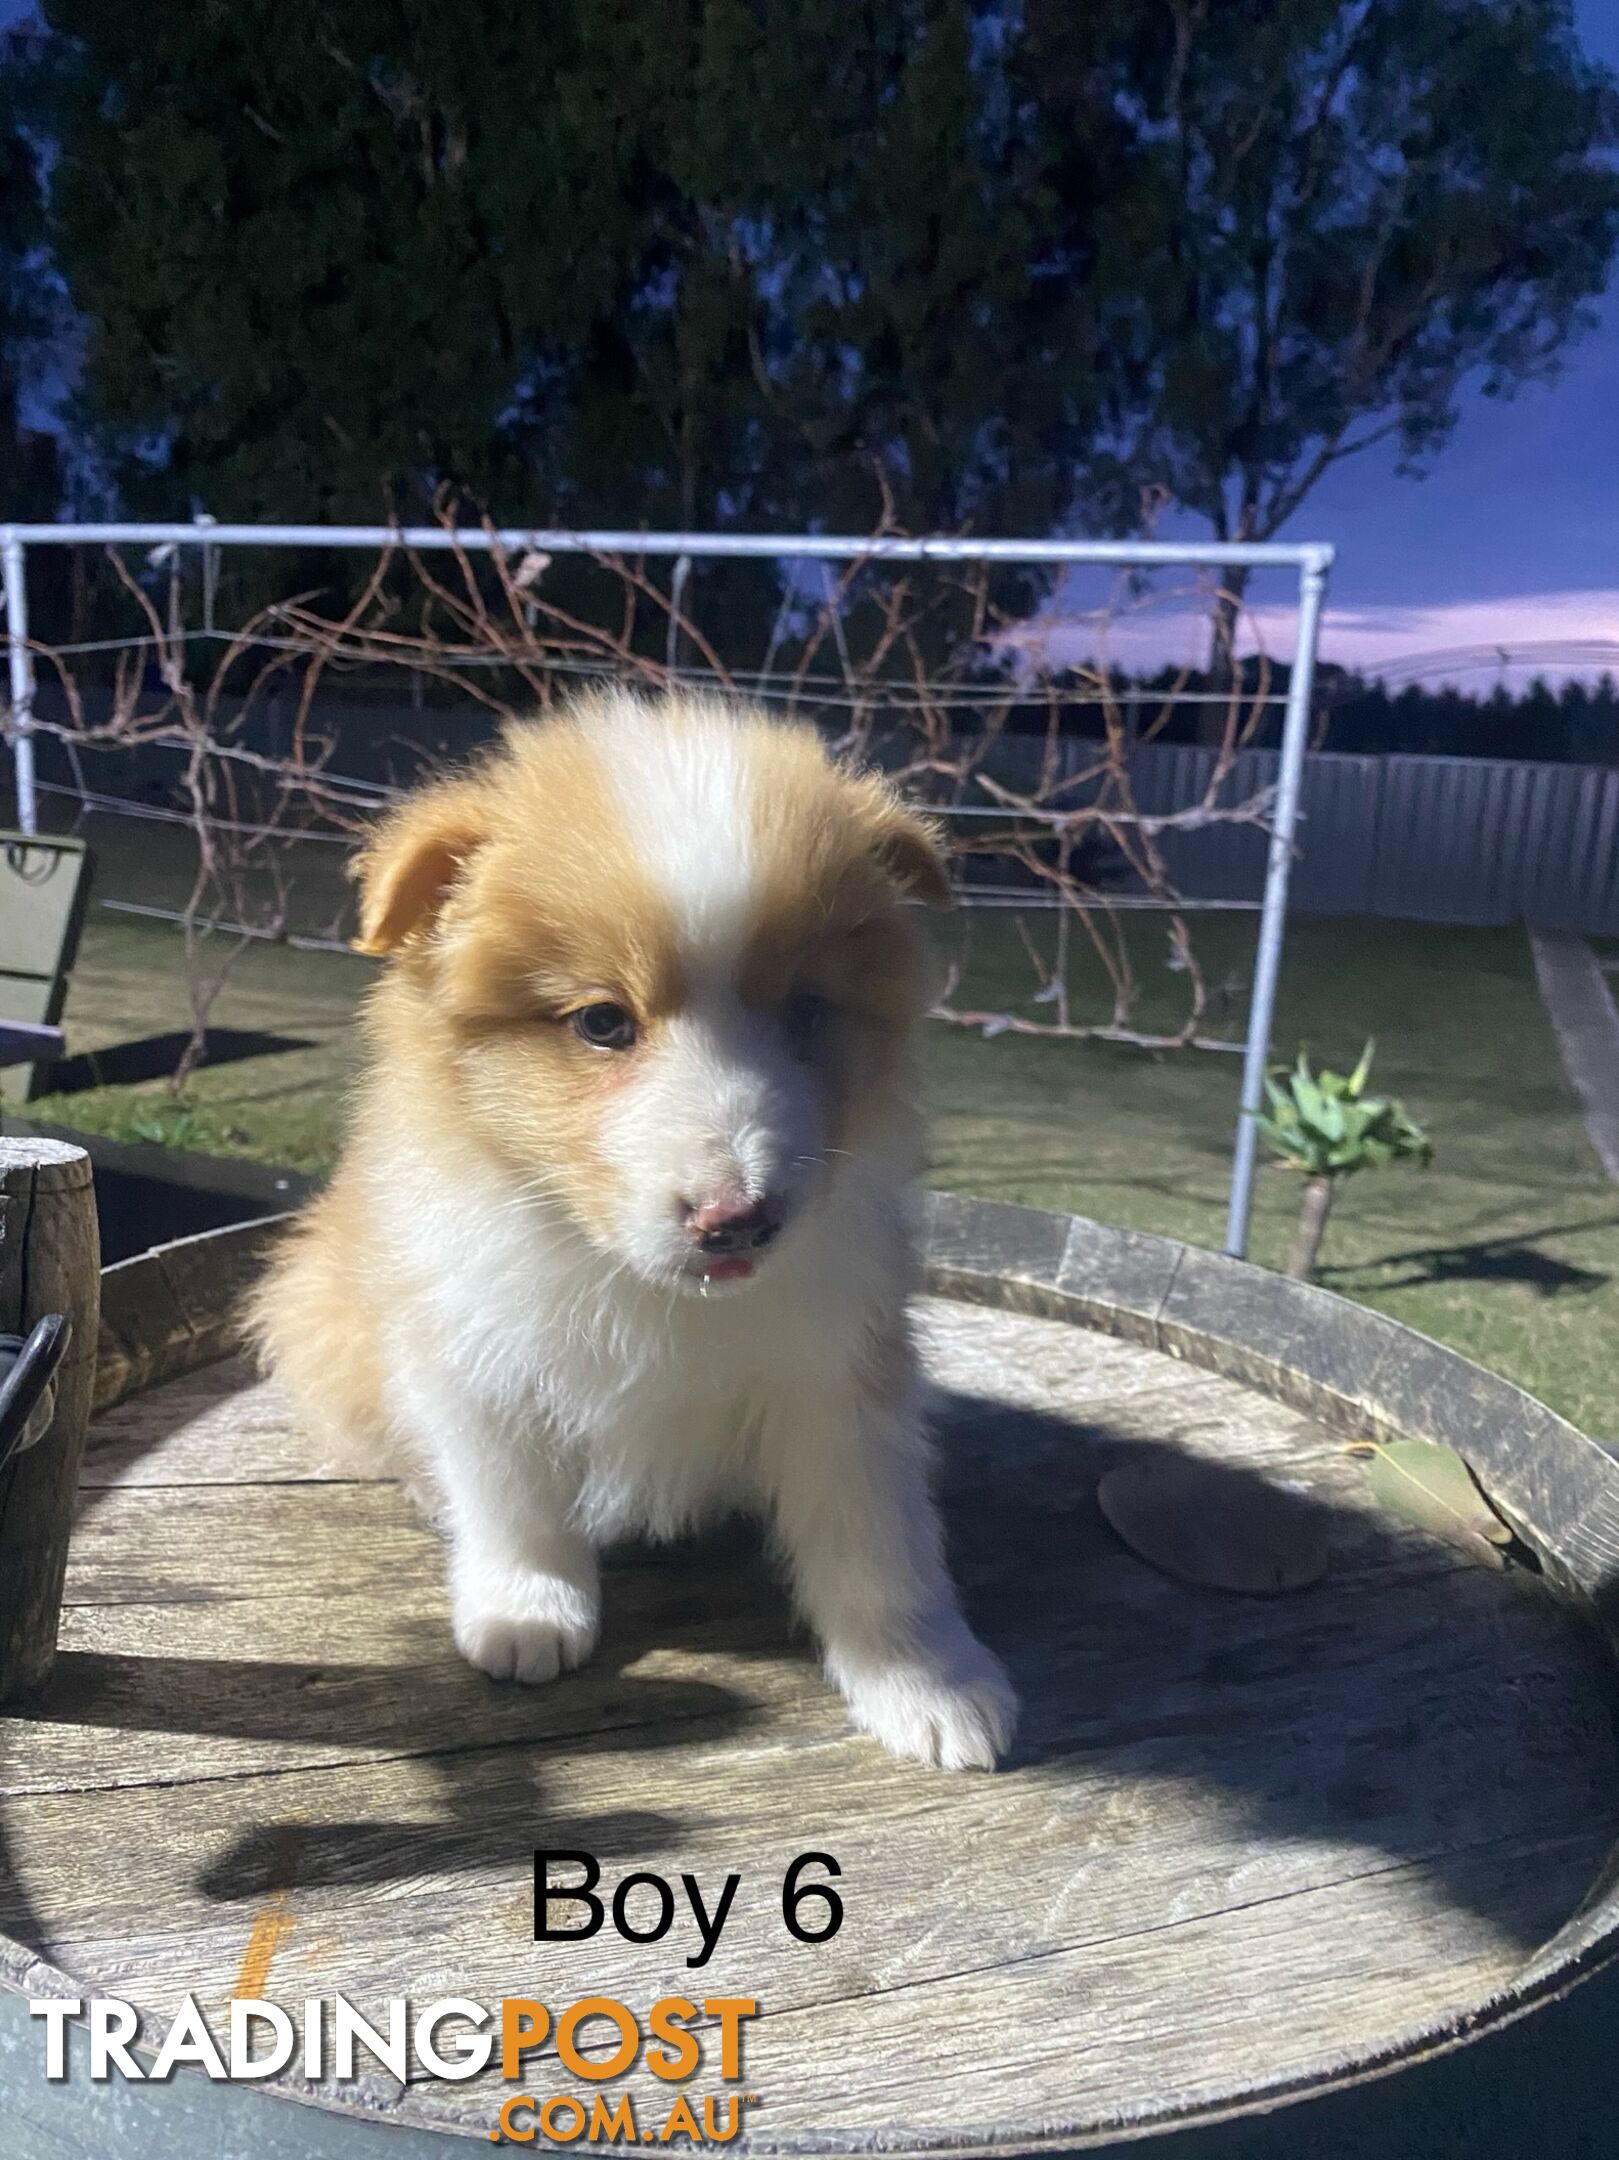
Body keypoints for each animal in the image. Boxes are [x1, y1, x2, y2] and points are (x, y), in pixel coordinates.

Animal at [252, 691, 1014, 1771]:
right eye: (602, 1022)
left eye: (806, 1011)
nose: (738, 1220)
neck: (639, 1285)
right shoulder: (475, 1347)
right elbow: (513, 1495)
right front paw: (525, 1608)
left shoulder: (841, 1365)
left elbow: (877, 1536)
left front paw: (927, 1682)